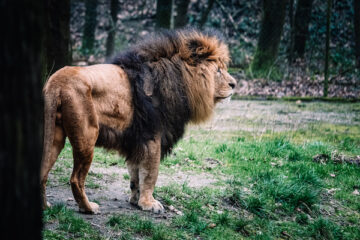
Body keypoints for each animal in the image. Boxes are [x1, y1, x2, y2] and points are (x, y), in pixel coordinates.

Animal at [40, 29, 236, 215]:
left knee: (42, 173)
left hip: (54, 136)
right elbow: (150, 174)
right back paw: (88, 208)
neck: (178, 80)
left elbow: (135, 174)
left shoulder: (136, 141)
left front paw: (136, 201)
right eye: (218, 70)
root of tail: (56, 82)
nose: (234, 84)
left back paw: (45, 207)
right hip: (87, 135)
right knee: (76, 179)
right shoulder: (153, 136)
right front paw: (149, 204)